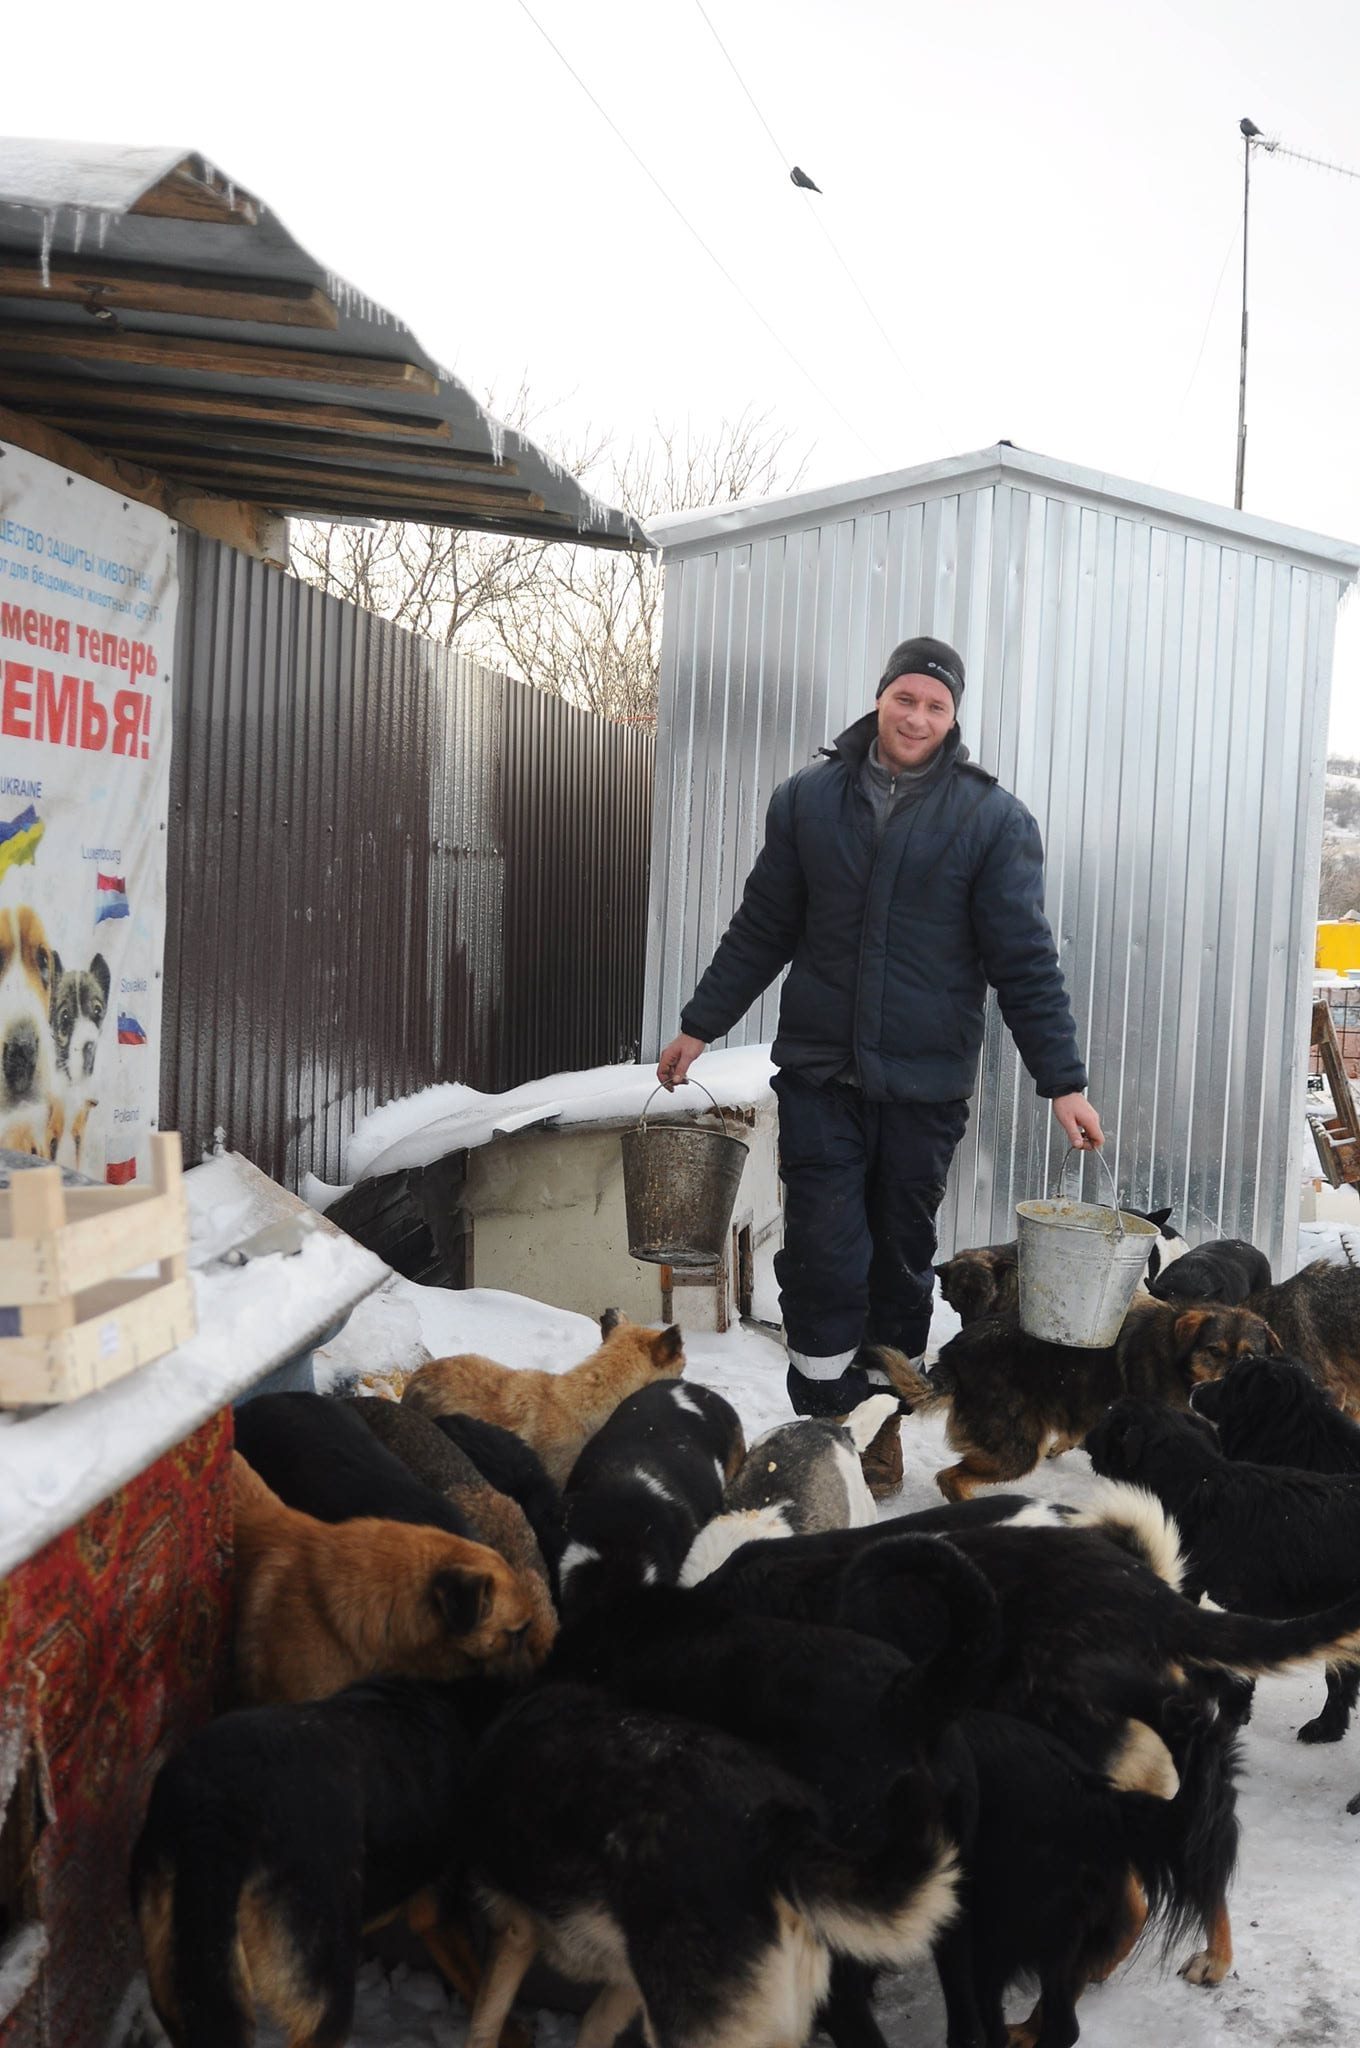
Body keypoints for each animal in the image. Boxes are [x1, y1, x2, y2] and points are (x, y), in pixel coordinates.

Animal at [888, 1294, 1278, 1507]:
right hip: (1016, 1450)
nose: (1221, 1389)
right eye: (1214, 1352)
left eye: (1247, 1357)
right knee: (948, 1477)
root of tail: (953, 1355)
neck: (1178, 1359)